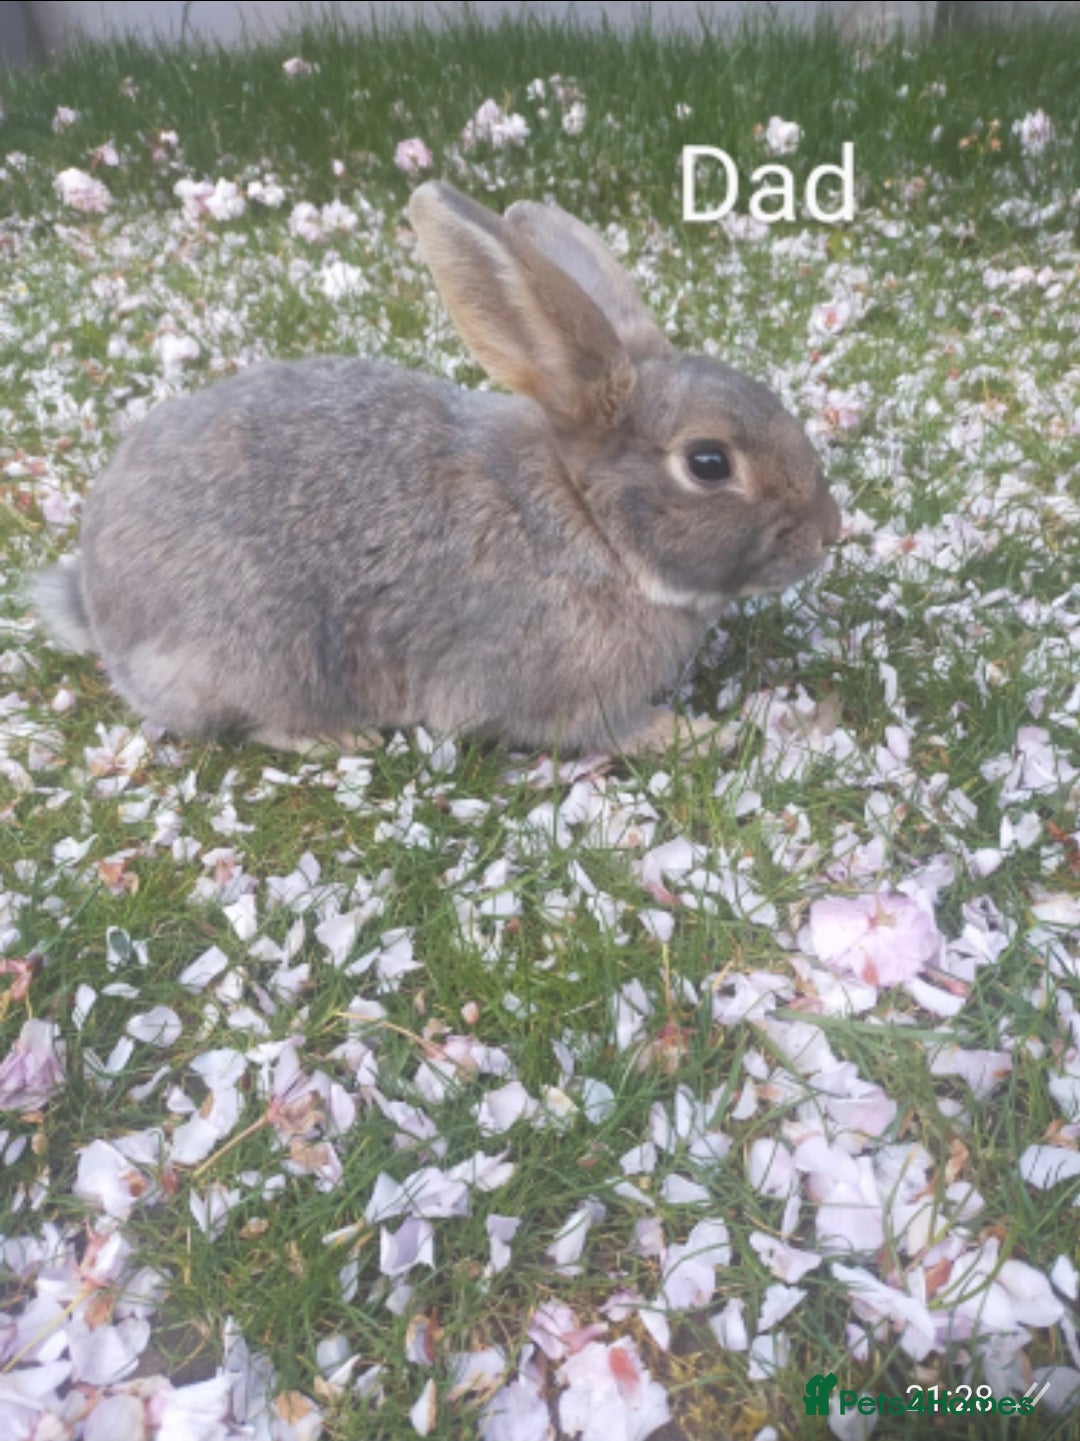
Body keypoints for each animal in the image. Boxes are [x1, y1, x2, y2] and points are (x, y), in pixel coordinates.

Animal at [30, 180, 840, 757]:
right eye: (708, 463)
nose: (829, 533)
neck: (592, 524)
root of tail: (98, 603)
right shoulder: (545, 693)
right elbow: (600, 731)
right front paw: (698, 734)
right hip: (256, 655)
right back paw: (344, 736)